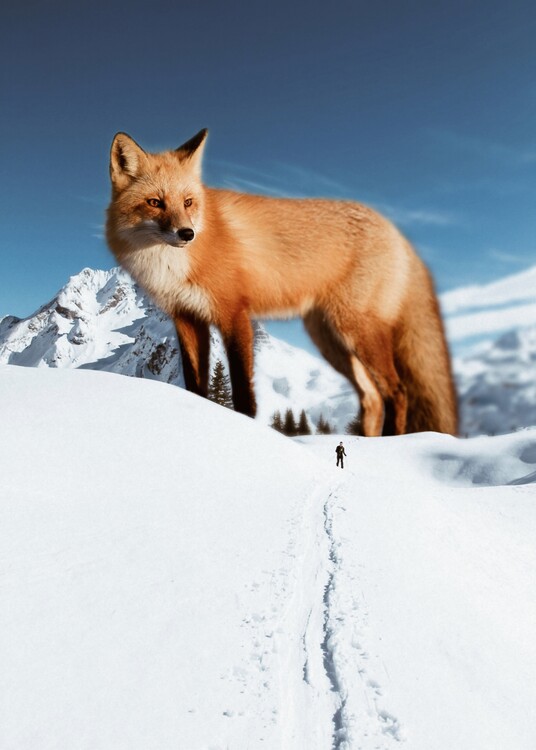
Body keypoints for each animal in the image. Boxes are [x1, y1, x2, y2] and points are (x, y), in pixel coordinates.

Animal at [105, 129, 458, 436]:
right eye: (155, 202)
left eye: (188, 202)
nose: (187, 234)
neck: (172, 264)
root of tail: (396, 231)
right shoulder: (187, 318)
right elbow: (195, 386)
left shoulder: (234, 314)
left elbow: (244, 392)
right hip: (331, 341)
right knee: (372, 398)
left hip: (358, 331)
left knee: (398, 392)